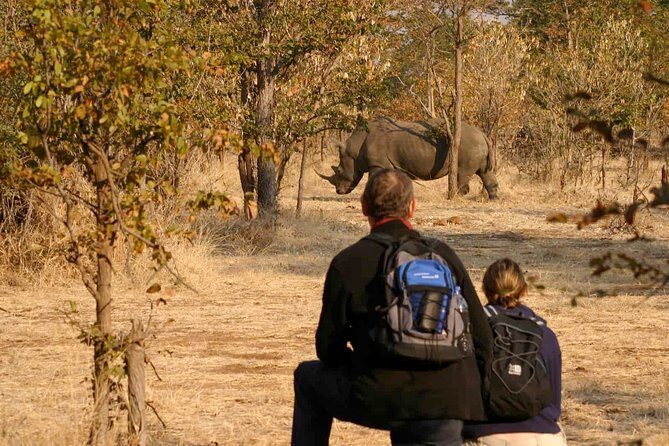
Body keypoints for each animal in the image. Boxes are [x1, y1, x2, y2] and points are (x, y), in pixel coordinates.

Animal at [317, 117, 499, 199]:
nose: (339, 191)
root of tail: (483, 135)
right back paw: (493, 199)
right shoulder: (395, 164)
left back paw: (456, 197)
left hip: (468, 144)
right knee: (485, 172)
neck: (354, 149)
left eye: (339, 170)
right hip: (477, 144)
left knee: (463, 173)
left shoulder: (377, 164)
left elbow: (373, 180)